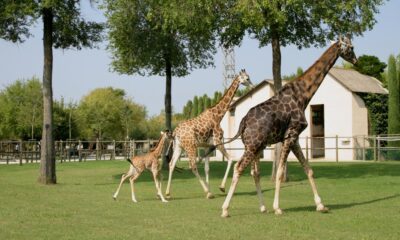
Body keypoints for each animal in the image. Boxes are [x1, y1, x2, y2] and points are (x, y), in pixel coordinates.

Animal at [166, 69, 253, 199]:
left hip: (179, 147)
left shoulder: (208, 146)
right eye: (247, 78)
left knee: (172, 164)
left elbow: (207, 168)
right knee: (193, 166)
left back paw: (167, 193)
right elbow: (230, 159)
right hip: (190, 146)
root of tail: (176, 132)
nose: (252, 86)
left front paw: (211, 190)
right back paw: (207, 192)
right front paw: (221, 188)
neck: (218, 115)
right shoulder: (218, 141)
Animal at [220, 36, 358, 218]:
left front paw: (321, 205)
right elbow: (280, 172)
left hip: (256, 146)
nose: (356, 60)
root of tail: (243, 122)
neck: (303, 96)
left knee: (253, 172)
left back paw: (261, 207)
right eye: (351, 47)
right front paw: (278, 208)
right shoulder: (290, 135)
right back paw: (225, 209)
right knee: (239, 167)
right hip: (253, 146)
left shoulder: (295, 138)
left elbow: (308, 169)